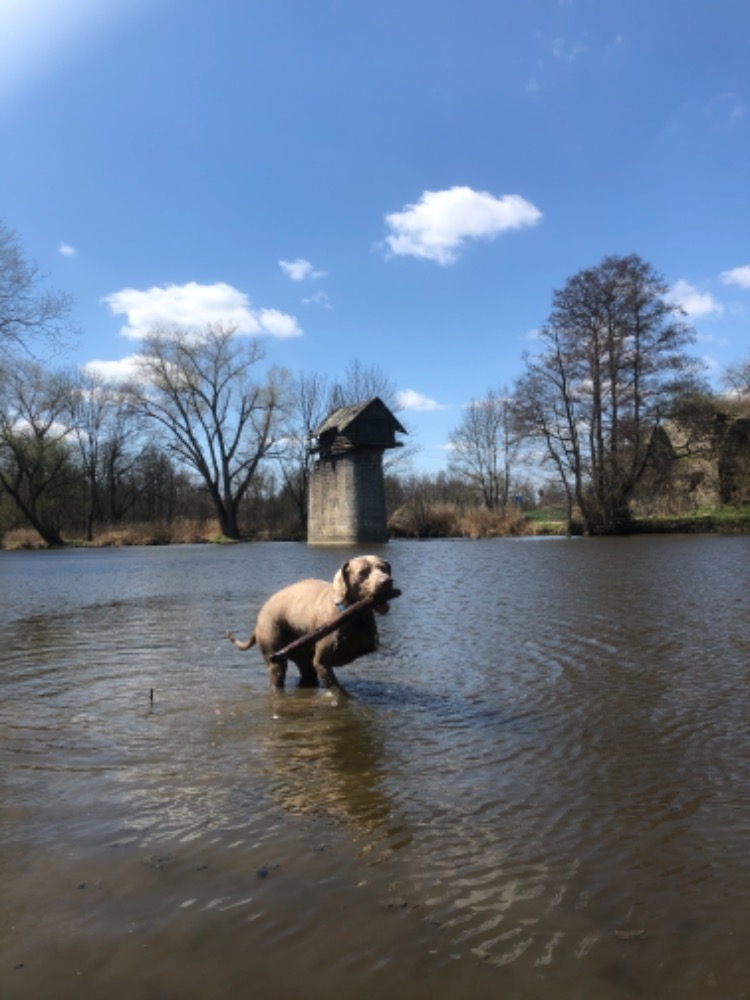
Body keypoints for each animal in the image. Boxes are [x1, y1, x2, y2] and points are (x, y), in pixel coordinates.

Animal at [227, 555, 396, 696]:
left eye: (384, 569)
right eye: (362, 573)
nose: (387, 581)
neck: (353, 614)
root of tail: (259, 619)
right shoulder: (322, 662)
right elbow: (338, 690)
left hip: (302, 659)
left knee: (307, 674)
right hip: (274, 648)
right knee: (278, 672)